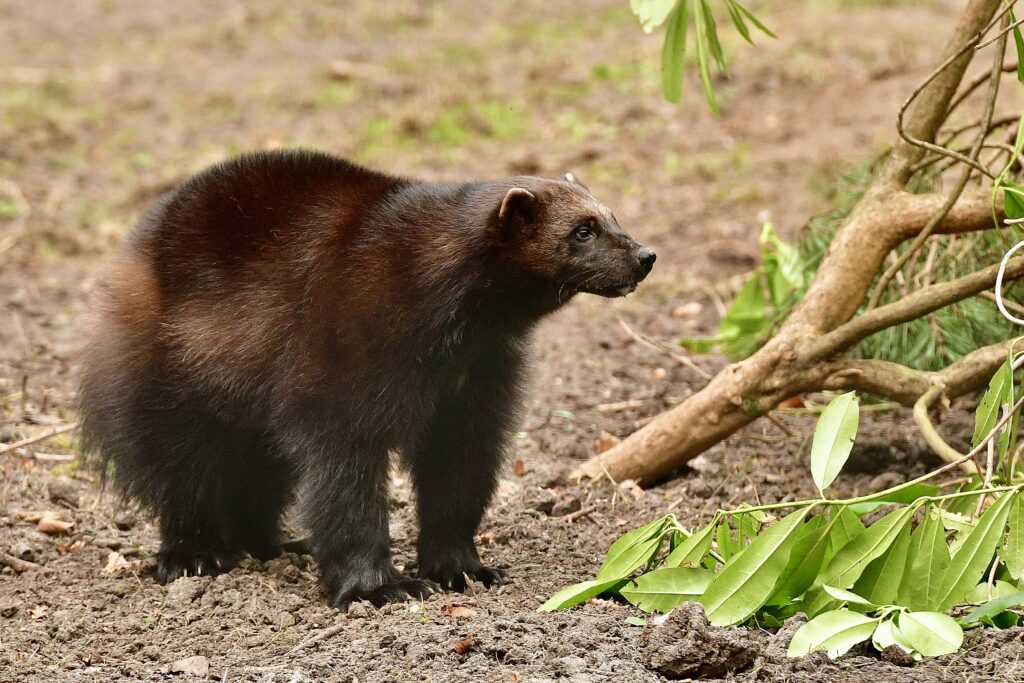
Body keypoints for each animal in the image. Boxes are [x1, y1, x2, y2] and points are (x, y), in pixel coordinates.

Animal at [78, 149, 655, 607]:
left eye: (612, 216)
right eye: (582, 230)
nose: (645, 255)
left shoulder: (474, 380)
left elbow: (459, 471)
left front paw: (462, 567)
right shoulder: (344, 358)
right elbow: (346, 483)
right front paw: (380, 586)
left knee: (255, 475)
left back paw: (271, 543)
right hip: (168, 376)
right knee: (182, 470)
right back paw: (195, 553)